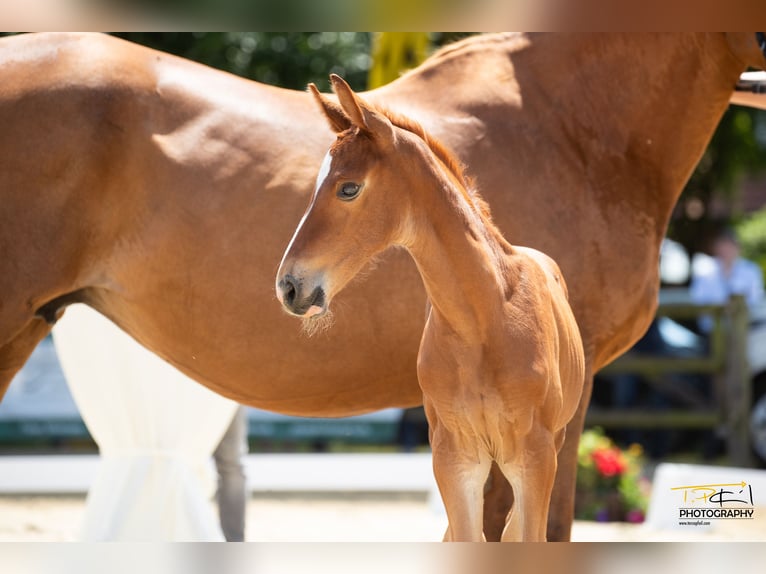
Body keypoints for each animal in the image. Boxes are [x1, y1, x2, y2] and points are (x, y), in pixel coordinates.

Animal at [280, 77, 584, 544]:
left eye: (349, 188)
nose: (289, 286)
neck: (484, 324)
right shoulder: (454, 458)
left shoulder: (534, 458)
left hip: (551, 443)